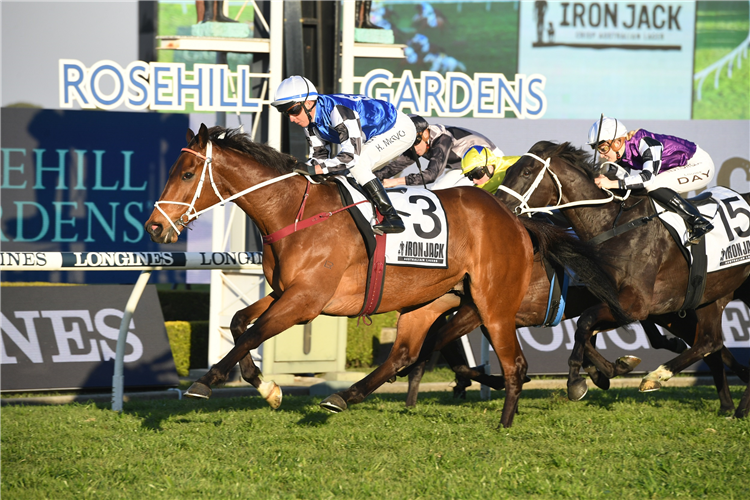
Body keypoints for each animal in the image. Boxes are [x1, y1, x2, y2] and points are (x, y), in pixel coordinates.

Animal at [145, 124, 576, 426]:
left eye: (186, 175)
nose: (154, 226)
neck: (294, 211)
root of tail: (514, 219)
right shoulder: (288, 291)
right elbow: (238, 322)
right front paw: (268, 388)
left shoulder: (306, 300)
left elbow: (253, 333)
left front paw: (206, 382)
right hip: (431, 299)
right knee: (404, 354)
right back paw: (343, 396)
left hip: (493, 303)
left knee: (514, 363)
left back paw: (504, 423)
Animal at [496, 141, 748, 418]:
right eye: (508, 171)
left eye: (527, 172)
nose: (498, 205)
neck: (613, 225)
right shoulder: (616, 303)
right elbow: (586, 332)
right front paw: (610, 370)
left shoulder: (635, 304)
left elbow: (584, 323)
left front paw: (575, 381)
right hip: (711, 295)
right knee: (709, 341)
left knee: (709, 343)